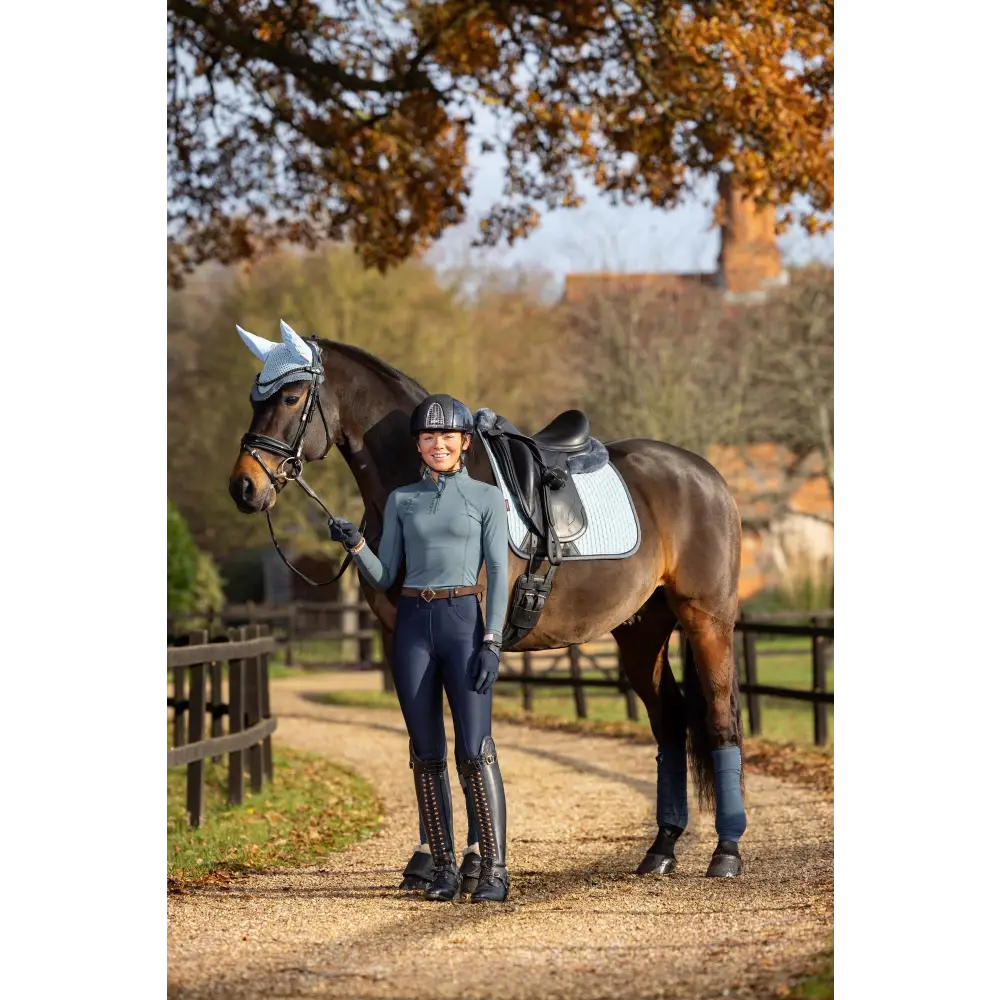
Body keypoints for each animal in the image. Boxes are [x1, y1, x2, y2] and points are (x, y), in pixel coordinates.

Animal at [227, 326, 744, 876]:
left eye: (290, 397)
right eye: (254, 398)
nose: (244, 486)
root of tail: (705, 475)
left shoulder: (473, 642)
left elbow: (466, 741)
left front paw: (475, 859)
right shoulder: (401, 638)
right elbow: (426, 739)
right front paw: (431, 859)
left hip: (706, 620)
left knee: (718, 718)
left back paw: (725, 852)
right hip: (642, 630)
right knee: (669, 721)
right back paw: (662, 848)